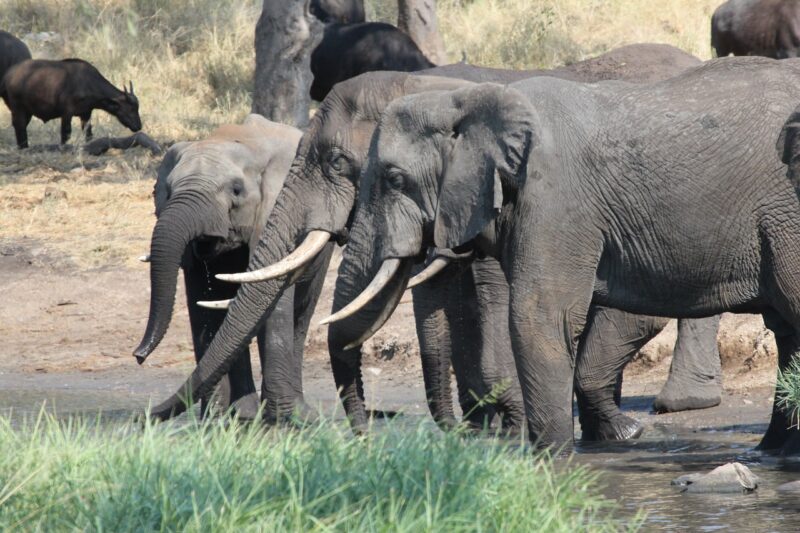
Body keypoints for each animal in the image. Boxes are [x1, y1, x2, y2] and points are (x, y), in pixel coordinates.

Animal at [0, 58, 141, 149]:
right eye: (131, 109)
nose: (139, 126)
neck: (87, 82)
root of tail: (8, 75)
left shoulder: (86, 114)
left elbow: (88, 134)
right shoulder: (67, 113)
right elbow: (65, 133)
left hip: (27, 111)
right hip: (18, 108)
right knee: (19, 125)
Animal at [134, 115, 332, 420]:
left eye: (236, 190)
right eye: (168, 190)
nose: (139, 356)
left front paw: (281, 420)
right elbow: (201, 302)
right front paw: (218, 419)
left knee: (302, 310)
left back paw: (299, 416)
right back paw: (244, 414)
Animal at [324, 55, 800, 454]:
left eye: (394, 179)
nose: (365, 441)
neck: (469, 99)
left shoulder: (554, 199)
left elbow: (539, 318)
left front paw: (554, 462)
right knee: (786, 330)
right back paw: (773, 453)